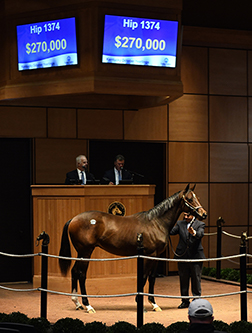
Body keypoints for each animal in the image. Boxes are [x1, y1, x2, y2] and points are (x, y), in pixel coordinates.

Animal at [58, 183, 207, 312]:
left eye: (197, 198)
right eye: (189, 199)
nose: (204, 214)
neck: (156, 223)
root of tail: (73, 219)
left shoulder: (157, 256)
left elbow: (152, 278)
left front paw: (154, 304)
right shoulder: (149, 255)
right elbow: (144, 277)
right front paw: (140, 304)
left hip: (81, 252)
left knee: (74, 271)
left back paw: (77, 303)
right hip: (86, 252)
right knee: (81, 274)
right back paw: (88, 305)